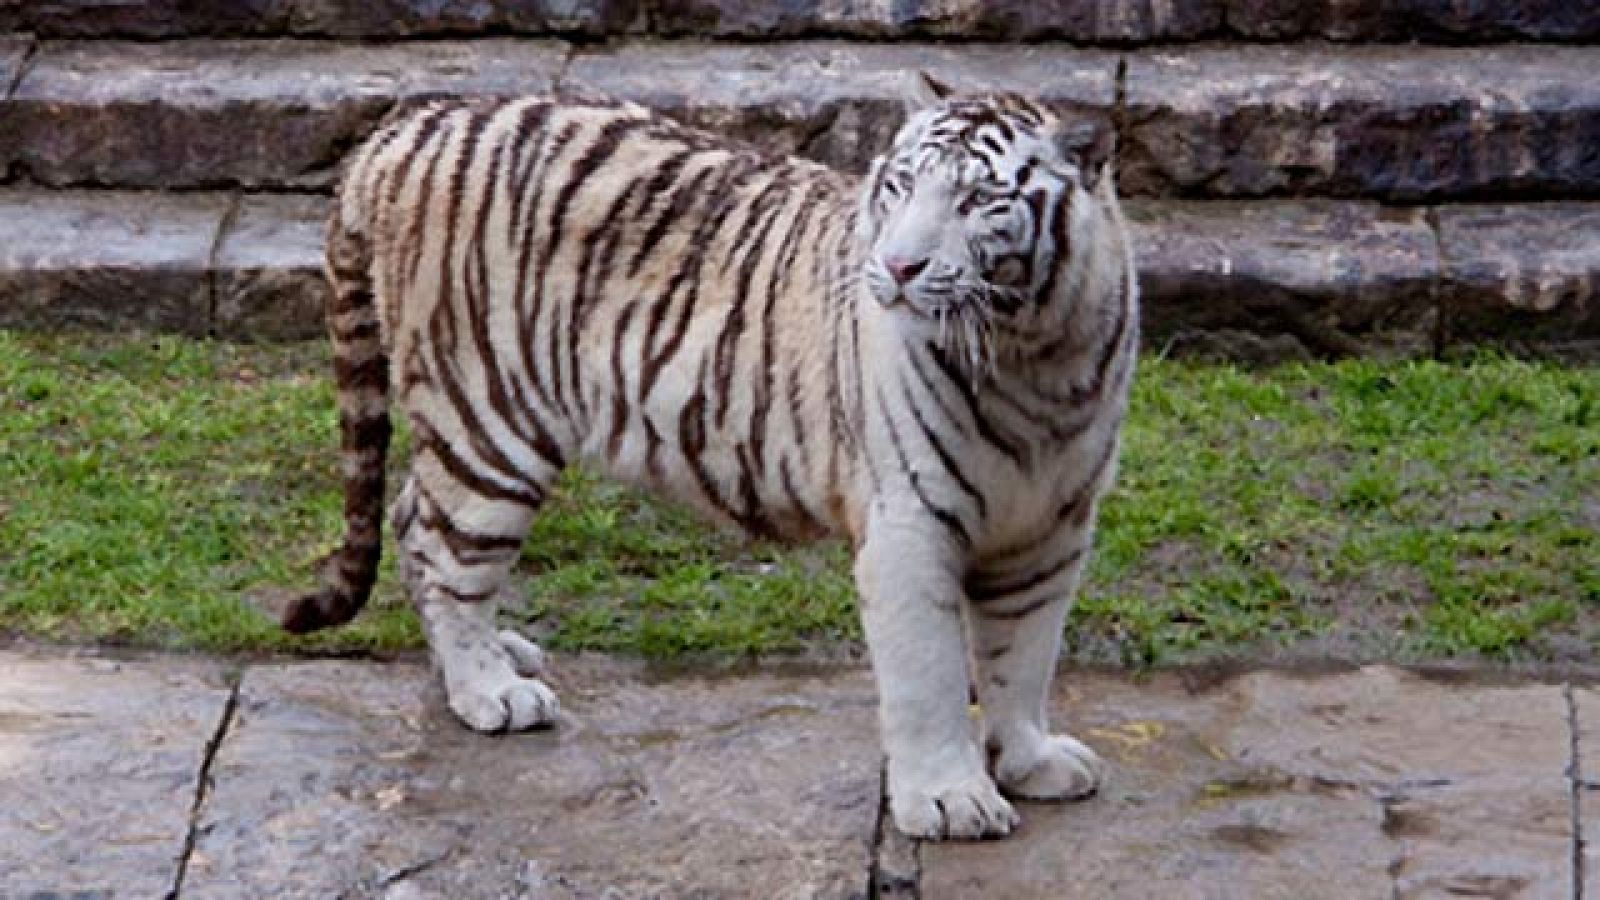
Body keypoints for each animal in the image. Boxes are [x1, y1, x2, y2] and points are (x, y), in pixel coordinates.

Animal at [283, 73, 1139, 841]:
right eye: (898, 187)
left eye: (979, 201)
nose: (899, 269)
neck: (1032, 356)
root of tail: (408, 125)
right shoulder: (910, 524)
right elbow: (928, 676)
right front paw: (951, 800)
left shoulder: (1052, 528)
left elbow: (1023, 654)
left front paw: (1029, 761)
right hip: (487, 420)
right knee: (440, 544)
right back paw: (490, 689)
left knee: (411, 518)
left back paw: (498, 653)